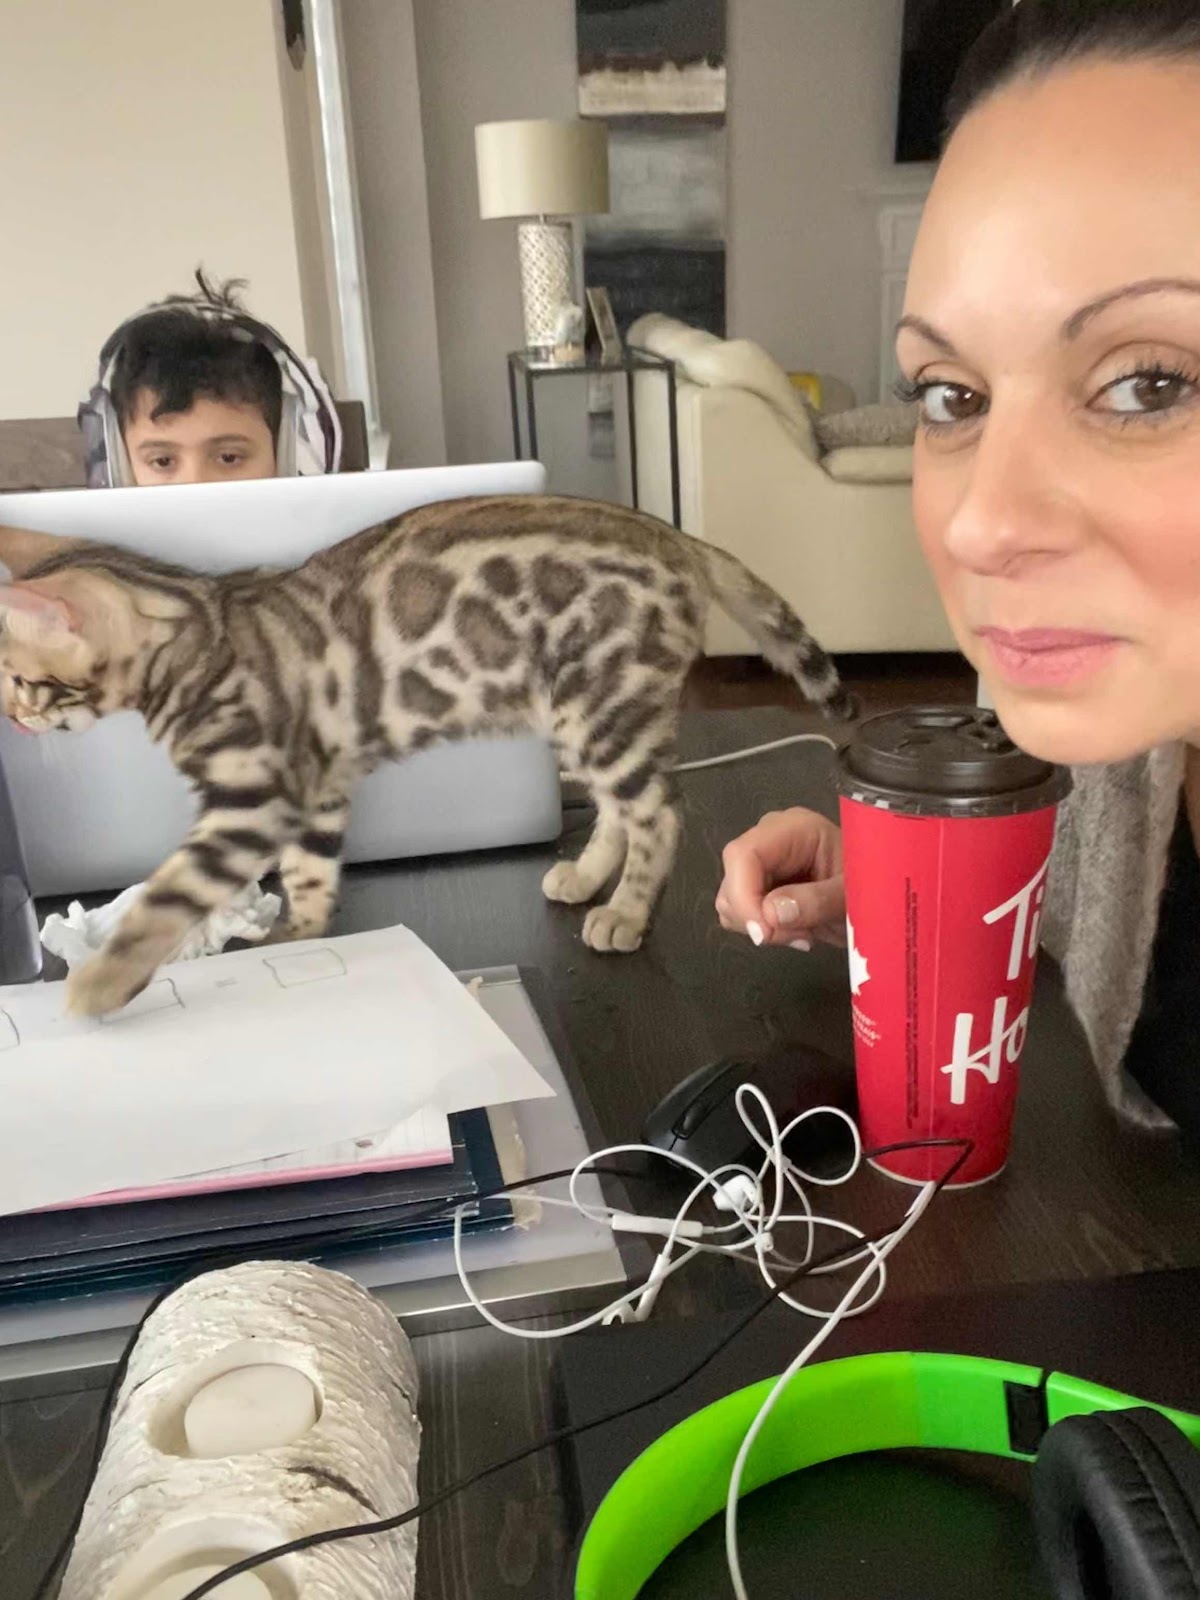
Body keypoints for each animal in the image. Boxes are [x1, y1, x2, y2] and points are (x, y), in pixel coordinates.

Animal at [0, 496, 855, 1018]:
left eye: (16, 678)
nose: (13, 718)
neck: (200, 634)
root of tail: (672, 535)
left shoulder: (256, 796)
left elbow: (168, 896)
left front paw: (102, 981)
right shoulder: (319, 786)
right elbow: (309, 877)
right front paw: (299, 934)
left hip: (601, 705)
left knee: (661, 814)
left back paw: (626, 911)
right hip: (581, 715)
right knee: (625, 806)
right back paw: (587, 878)